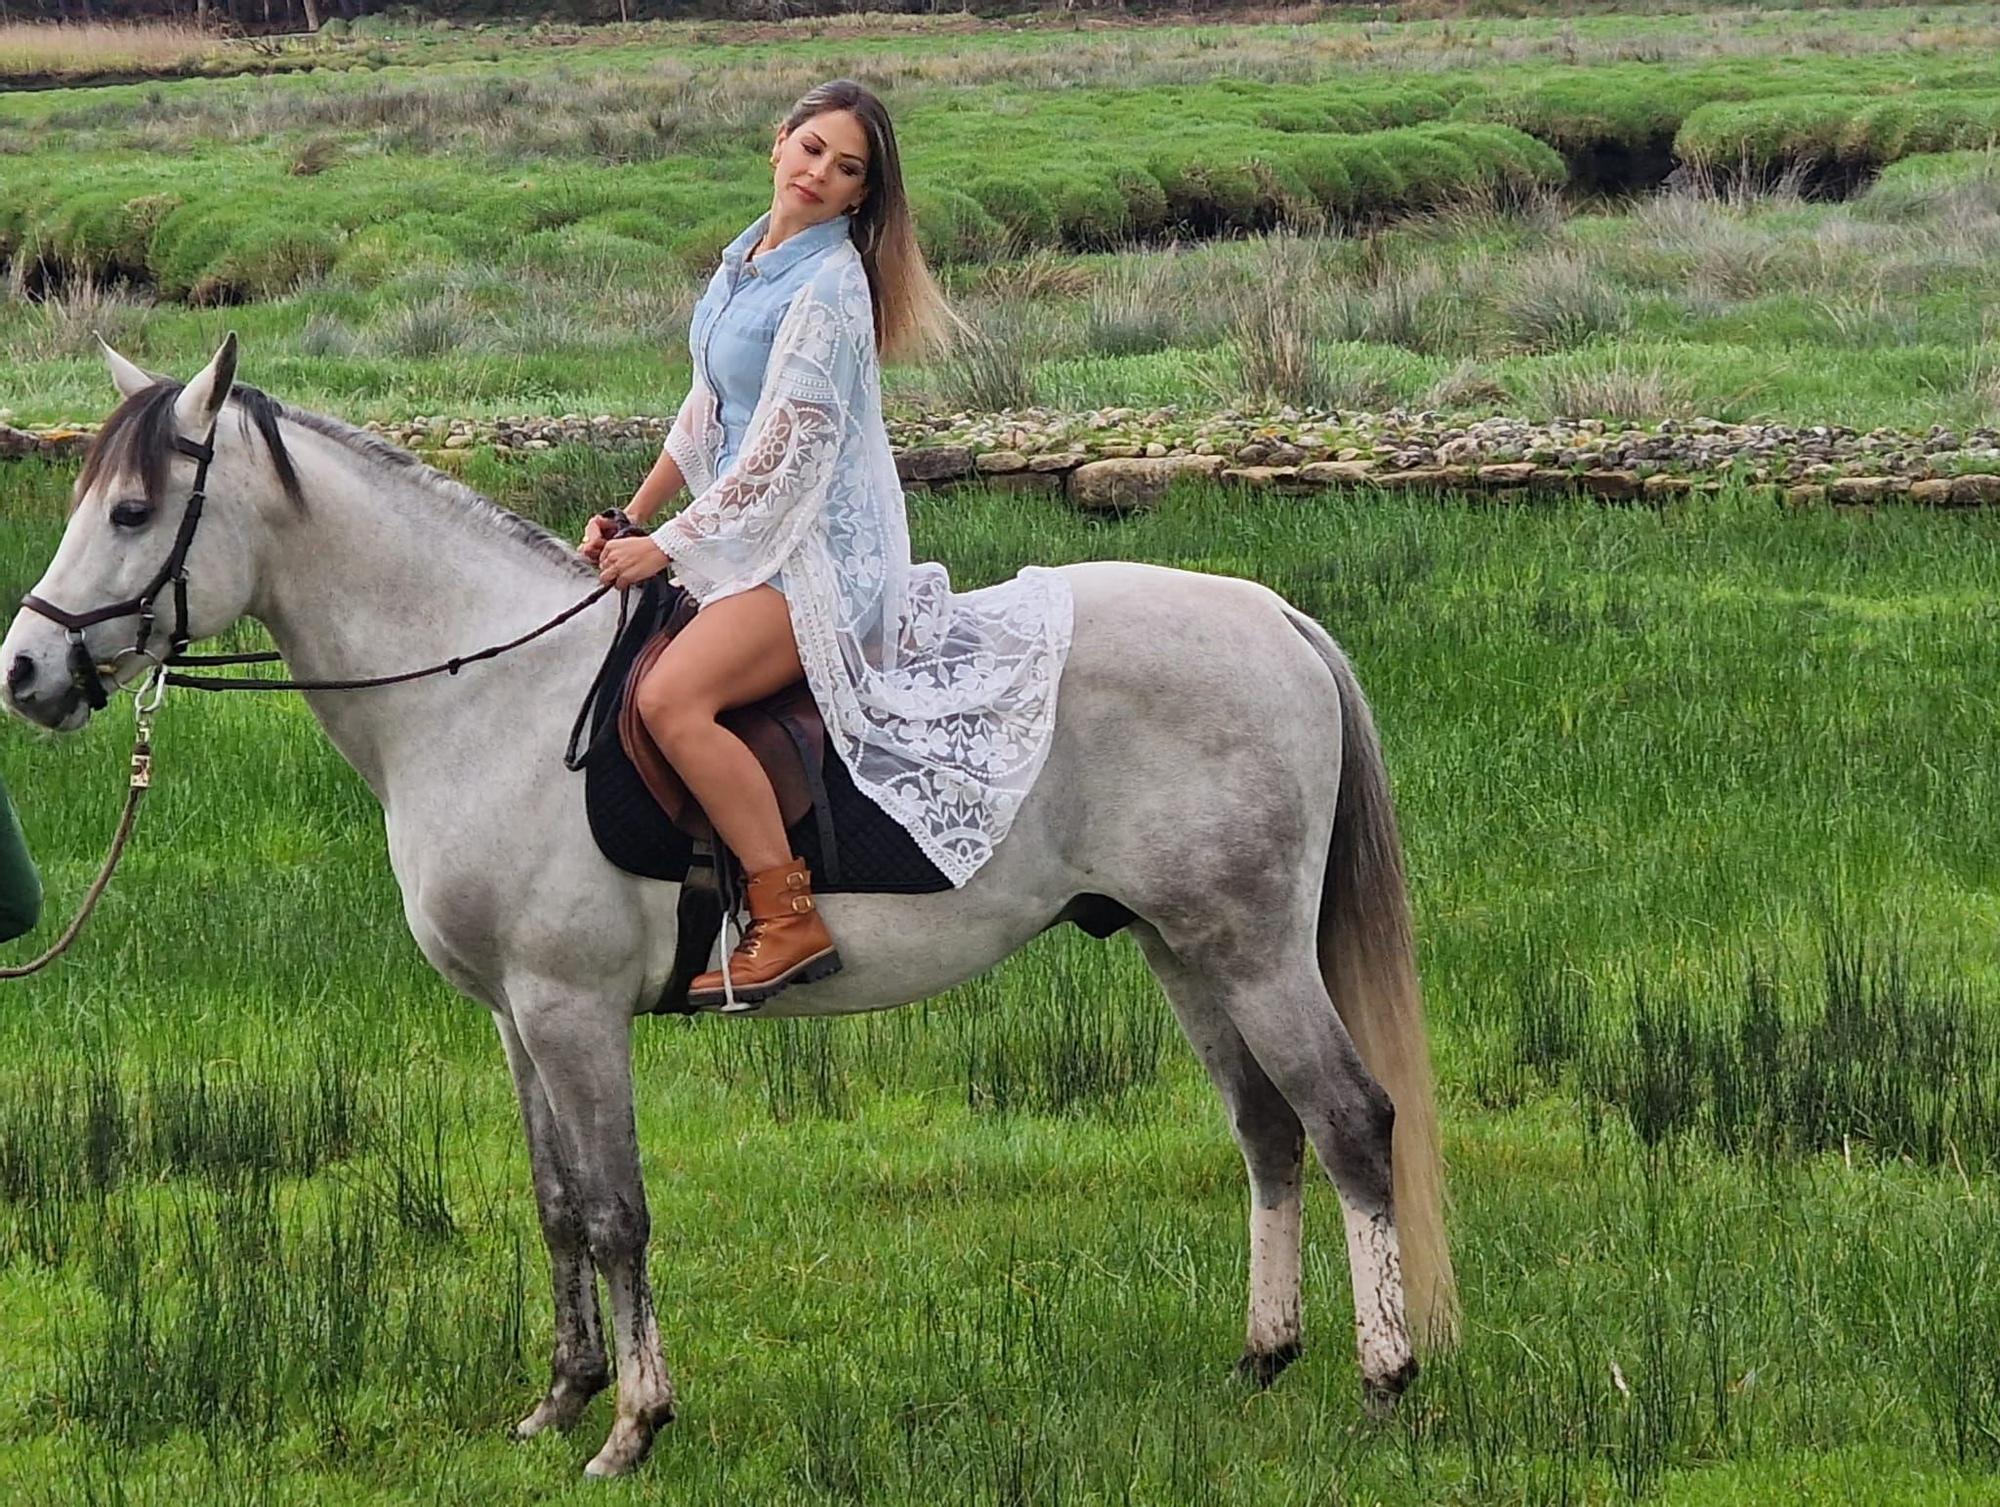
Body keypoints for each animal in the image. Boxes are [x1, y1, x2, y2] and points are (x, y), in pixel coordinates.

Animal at [7, 337, 1464, 1471]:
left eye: (132, 512)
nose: (26, 669)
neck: (486, 694)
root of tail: (1274, 615)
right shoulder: (513, 1018)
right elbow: (554, 1201)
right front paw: (559, 1398)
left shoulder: (573, 1010)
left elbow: (615, 1208)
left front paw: (633, 1424)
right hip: (1180, 948)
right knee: (1266, 1132)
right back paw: (1263, 1356)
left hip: (1252, 949)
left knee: (1348, 1122)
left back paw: (1381, 1377)